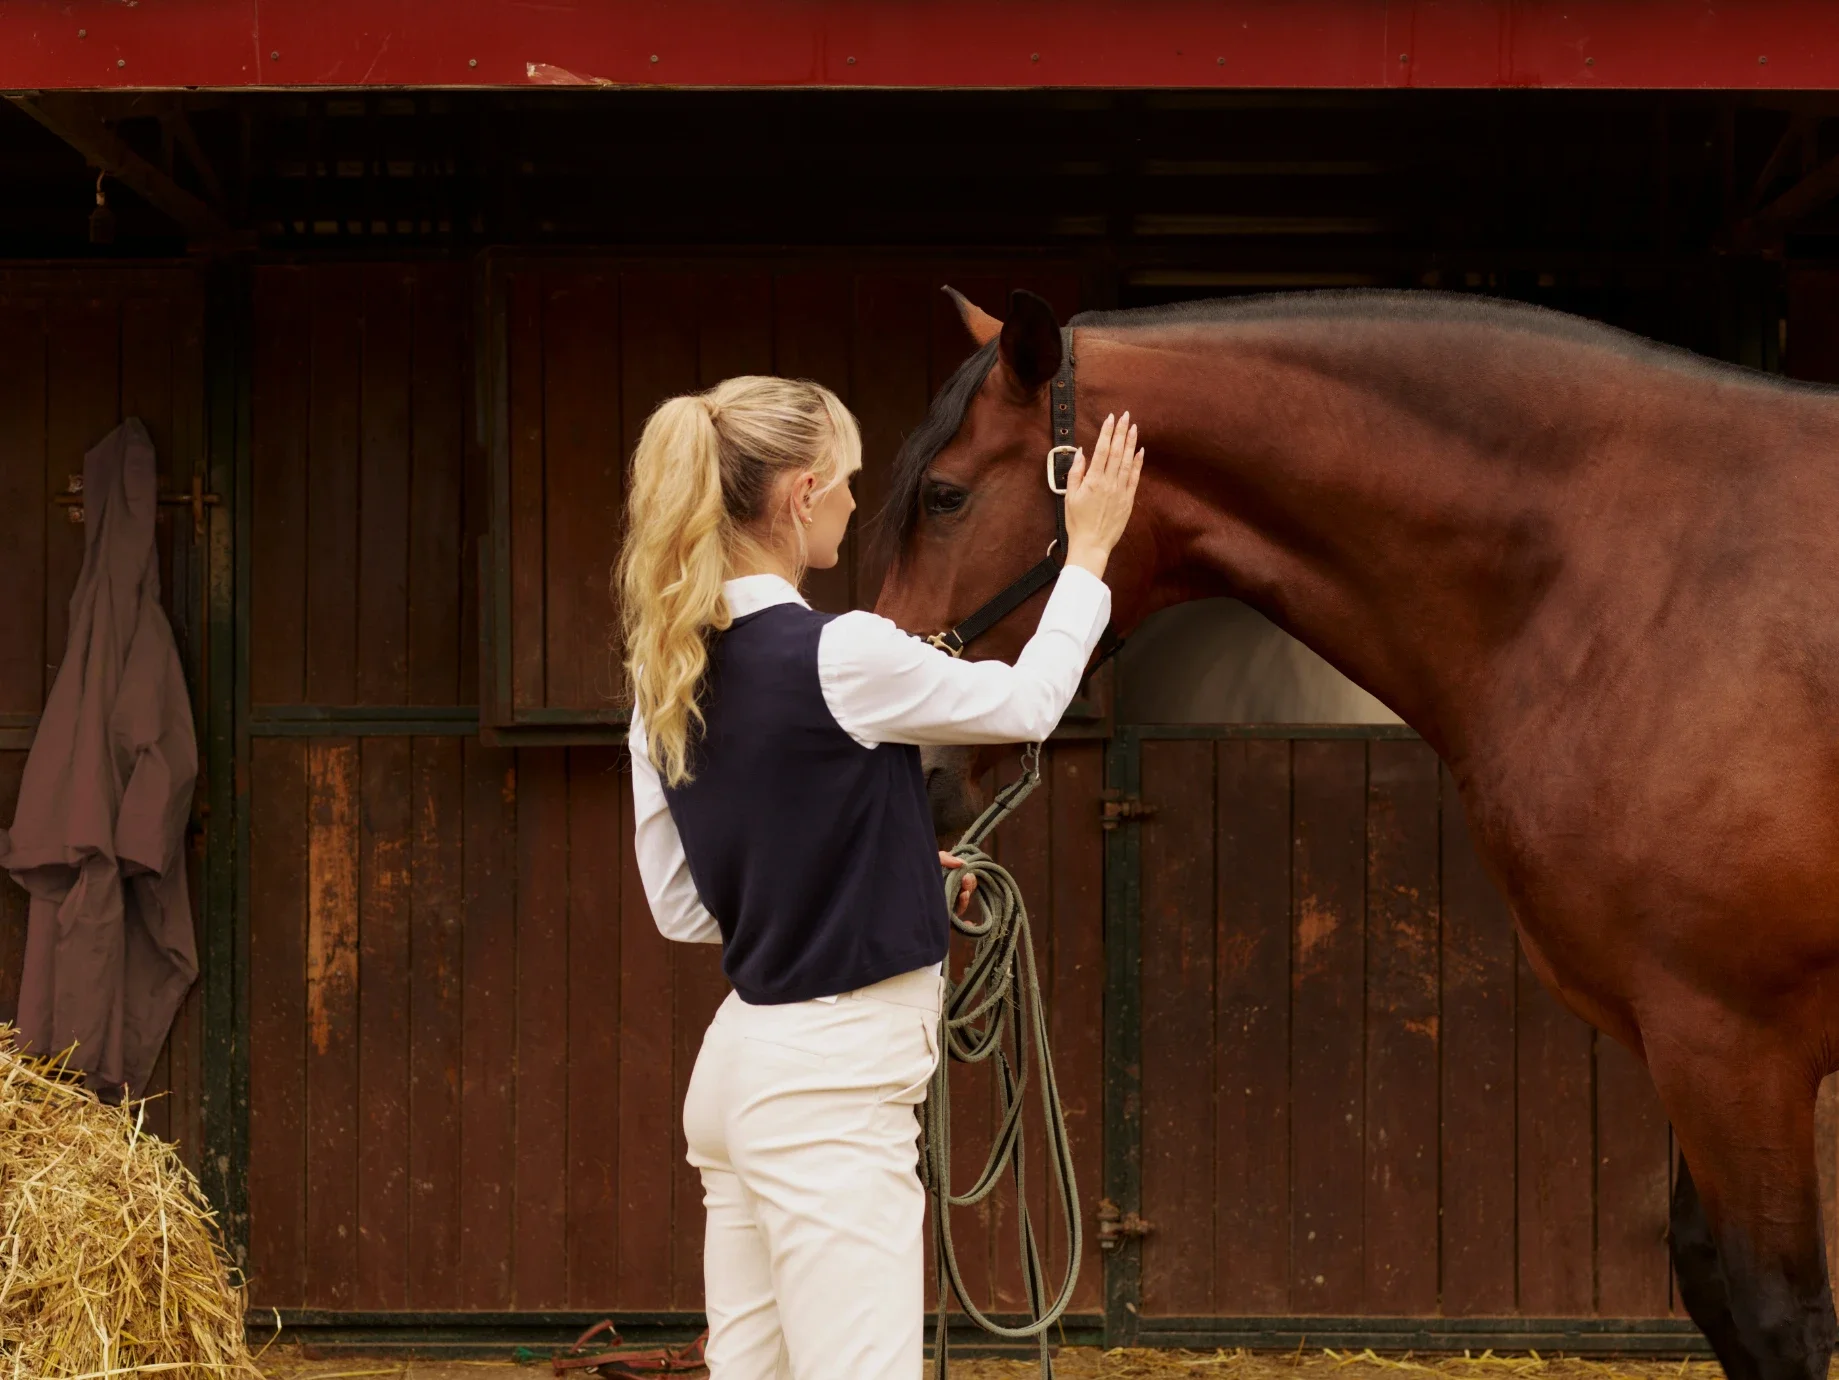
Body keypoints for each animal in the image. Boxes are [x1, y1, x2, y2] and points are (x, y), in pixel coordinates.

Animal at [871, 285, 1839, 1380]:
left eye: (944, 497)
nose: (907, 759)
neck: (1646, 578)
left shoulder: (1736, 1041)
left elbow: (1775, 1313)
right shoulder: (1679, 1035)